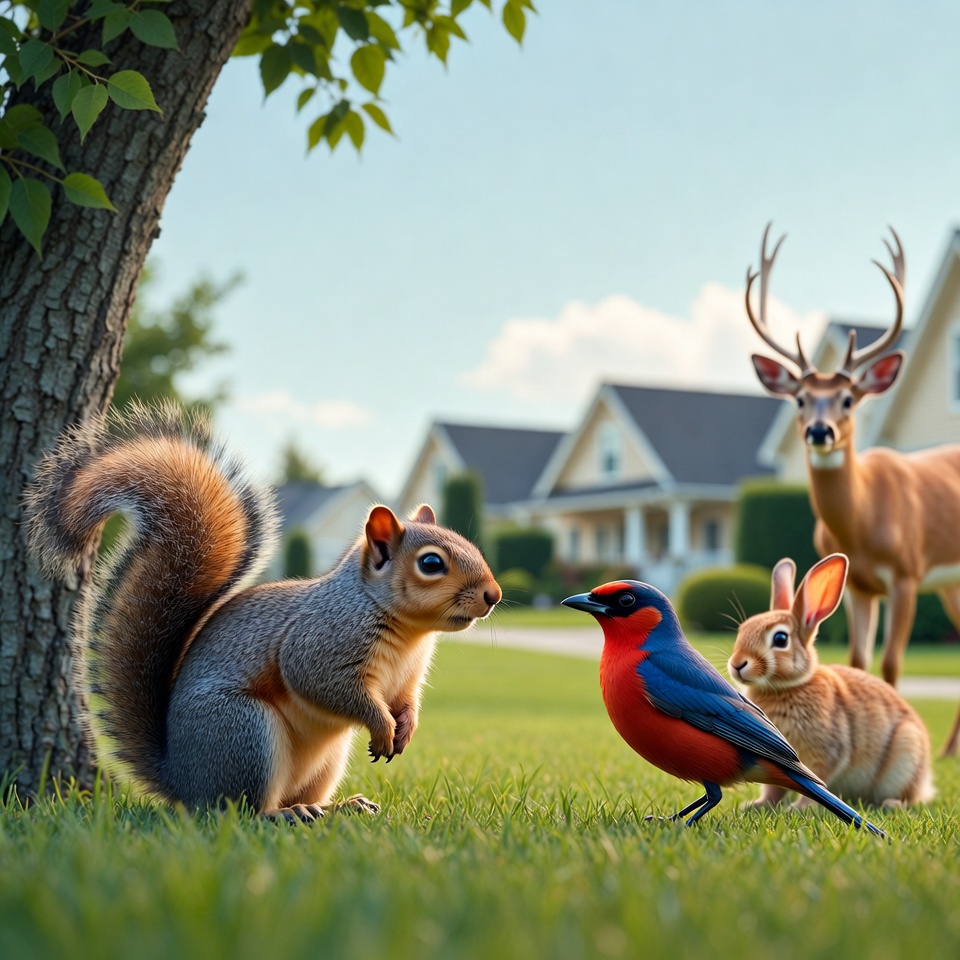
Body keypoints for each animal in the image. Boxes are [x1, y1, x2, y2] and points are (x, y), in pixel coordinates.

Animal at [24, 402, 501, 822]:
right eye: (431, 563)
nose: (493, 595)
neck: (408, 632)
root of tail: (182, 780)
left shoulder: (408, 675)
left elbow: (407, 700)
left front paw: (406, 727)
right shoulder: (320, 642)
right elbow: (326, 685)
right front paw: (381, 725)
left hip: (324, 759)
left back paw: (337, 807)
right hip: (245, 733)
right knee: (238, 810)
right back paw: (283, 815)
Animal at [727, 553, 934, 808]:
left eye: (780, 639)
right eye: (742, 629)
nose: (737, 664)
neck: (787, 687)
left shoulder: (827, 751)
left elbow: (818, 780)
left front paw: (799, 809)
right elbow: (774, 788)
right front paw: (758, 805)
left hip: (907, 752)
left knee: (910, 796)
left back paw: (891, 803)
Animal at [745, 224, 960, 756]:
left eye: (847, 399)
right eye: (801, 398)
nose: (819, 432)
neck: (861, 523)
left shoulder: (906, 574)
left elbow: (891, 661)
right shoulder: (861, 585)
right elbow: (861, 659)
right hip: (951, 584)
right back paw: (949, 750)